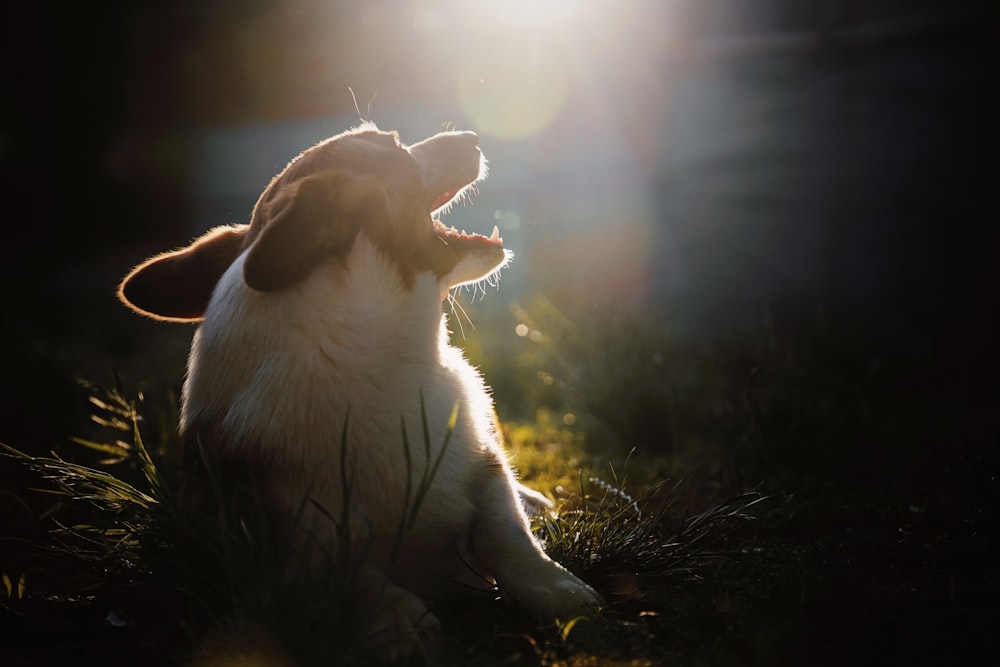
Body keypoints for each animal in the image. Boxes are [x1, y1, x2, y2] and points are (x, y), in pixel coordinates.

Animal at [117, 124, 600, 656]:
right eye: (391, 148)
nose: (472, 136)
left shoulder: (485, 469)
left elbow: (507, 532)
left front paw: (556, 588)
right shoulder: (279, 543)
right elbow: (343, 572)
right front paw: (398, 621)